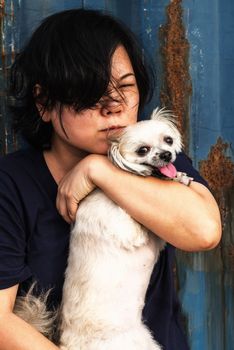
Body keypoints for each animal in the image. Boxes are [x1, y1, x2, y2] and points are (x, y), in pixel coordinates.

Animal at [13, 108, 192, 348]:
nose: (166, 154)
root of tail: (66, 344)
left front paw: (181, 177)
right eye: (142, 150)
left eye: (168, 140)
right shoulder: (128, 229)